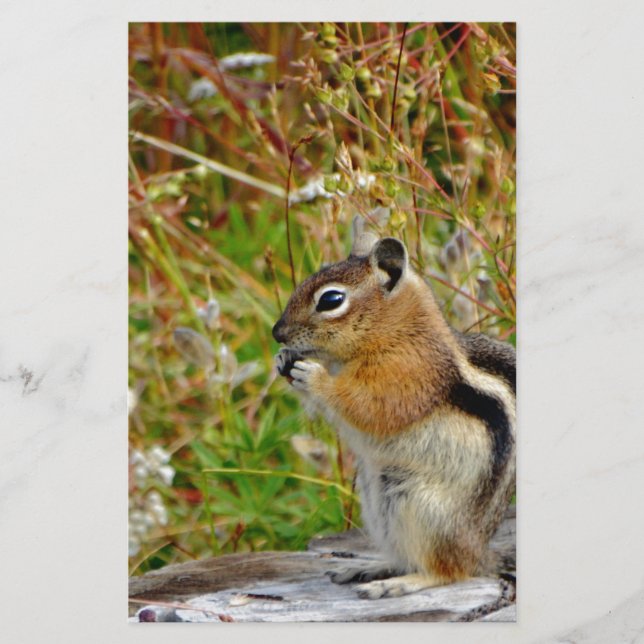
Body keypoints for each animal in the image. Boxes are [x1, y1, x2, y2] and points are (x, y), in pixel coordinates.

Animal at [272, 216, 516, 599]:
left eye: (331, 299)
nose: (276, 333)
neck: (396, 331)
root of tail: (479, 553)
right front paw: (283, 359)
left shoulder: (405, 374)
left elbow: (369, 407)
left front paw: (315, 377)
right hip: (378, 504)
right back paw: (370, 568)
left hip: (420, 506)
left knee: (449, 571)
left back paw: (398, 583)